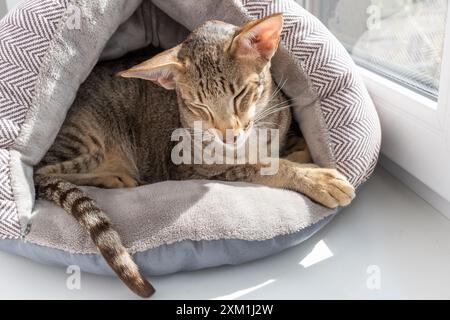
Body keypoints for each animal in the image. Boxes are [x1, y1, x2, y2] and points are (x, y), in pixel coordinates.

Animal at [34, 12, 356, 298]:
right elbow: (261, 166)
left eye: (240, 95)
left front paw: (300, 149)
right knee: (42, 175)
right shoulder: (190, 169)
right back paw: (114, 179)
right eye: (199, 107)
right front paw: (317, 178)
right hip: (85, 141)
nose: (229, 134)